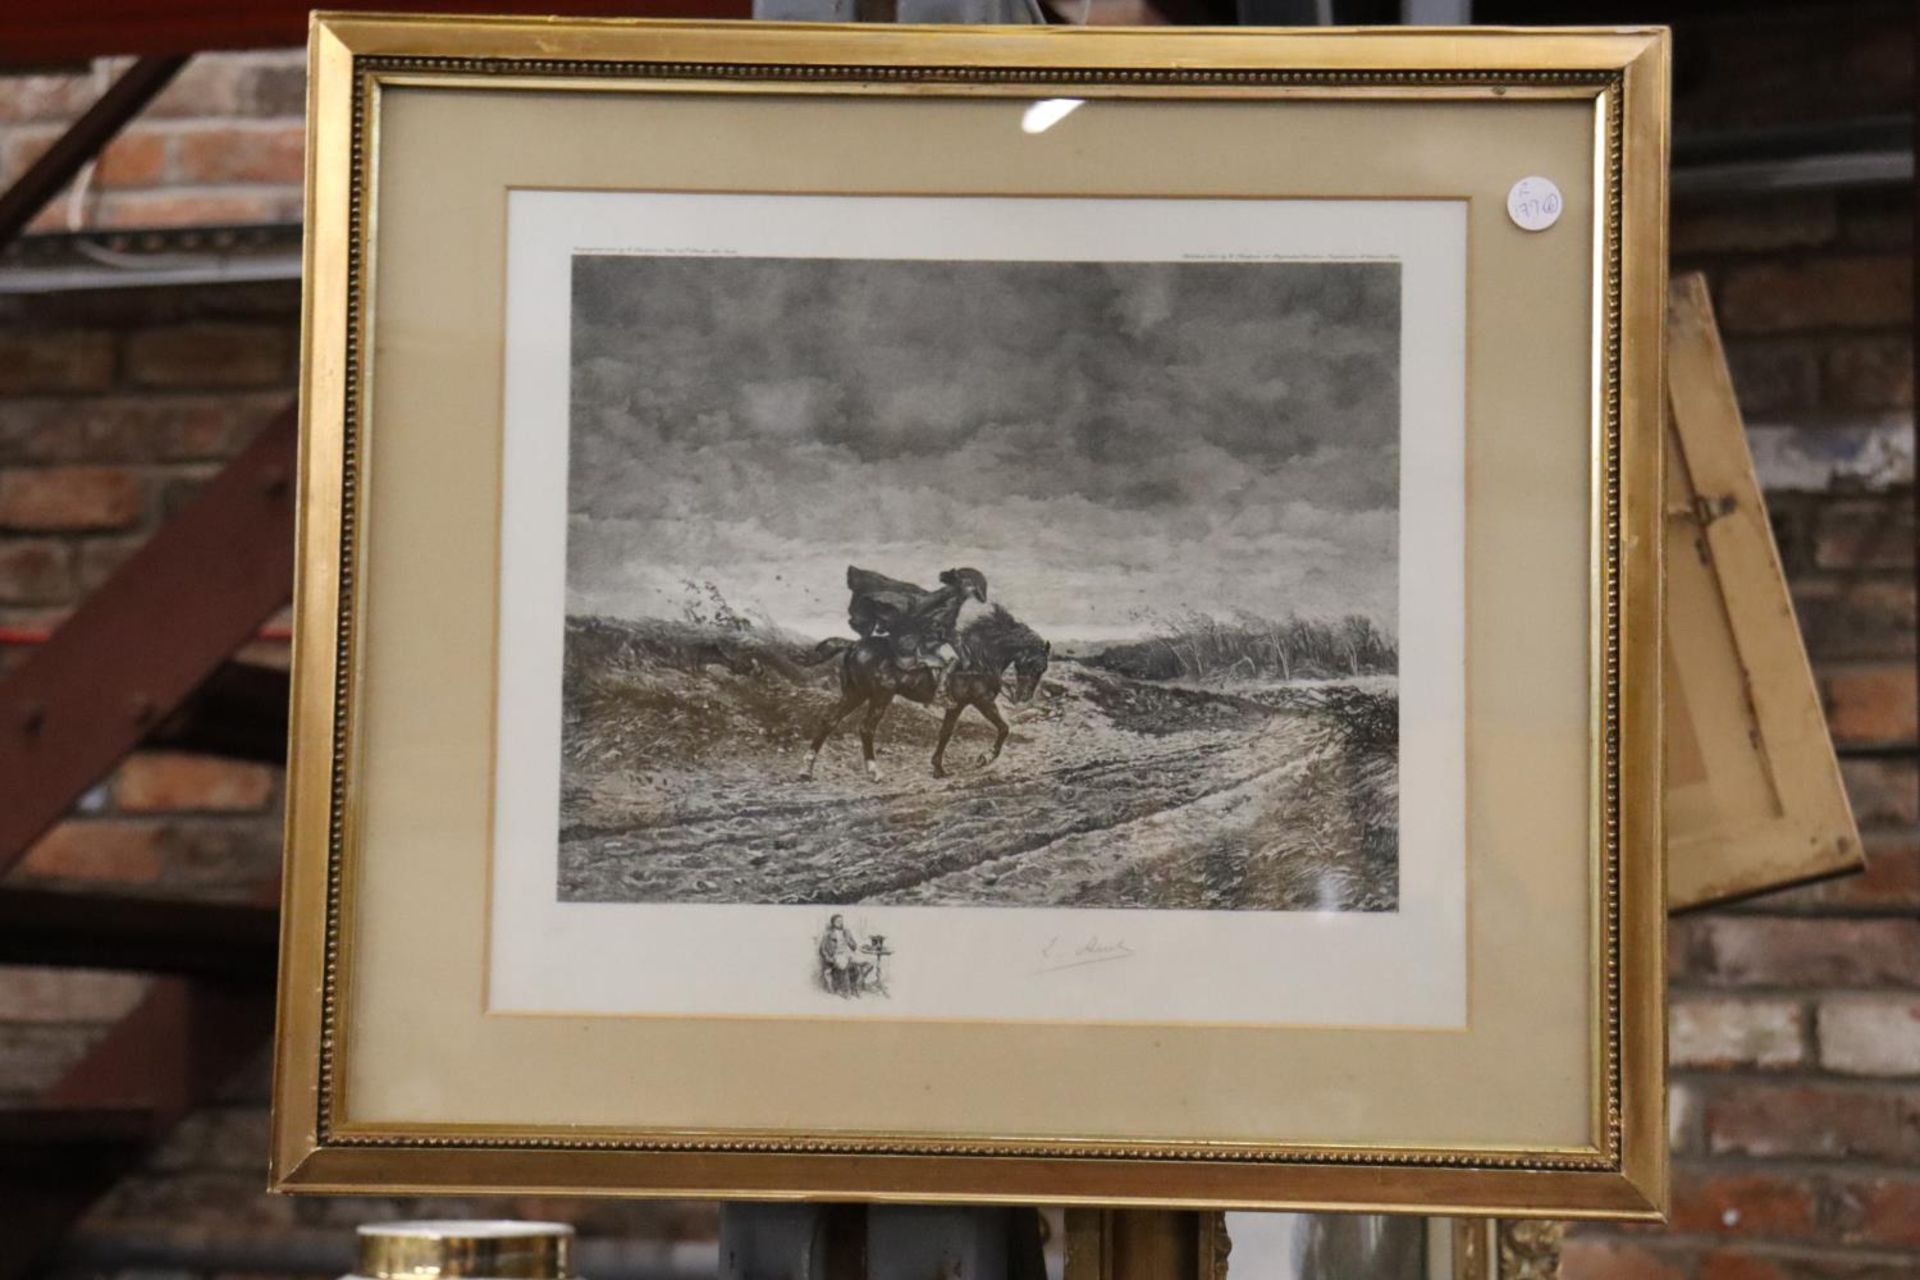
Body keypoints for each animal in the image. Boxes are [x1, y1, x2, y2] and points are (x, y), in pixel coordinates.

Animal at [802, 610, 1059, 782]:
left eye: (1043, 668)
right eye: (1034, 664)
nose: (1024, 696)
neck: (979, 657)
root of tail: (854, 645)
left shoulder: (957, 705)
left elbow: (946, 733)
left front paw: (938, 768)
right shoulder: (980, 701)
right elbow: (1003, 728)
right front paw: (984, 758)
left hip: (856, 693)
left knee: (829, 721)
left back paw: (806, 770)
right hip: (880, 696)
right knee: (866, 728)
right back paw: (874, 771)